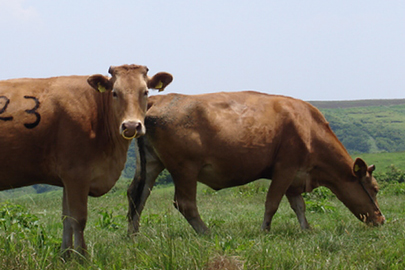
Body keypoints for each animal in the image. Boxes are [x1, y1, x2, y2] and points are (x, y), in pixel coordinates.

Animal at [0, 65, 172, 255]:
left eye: (145, 92)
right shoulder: (76, 174)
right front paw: (82, 256)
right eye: (114, 93)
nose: (131, 126)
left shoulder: (67, 178)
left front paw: (65, 255)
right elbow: (78, 218)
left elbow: (66, 218)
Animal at [128, 90, 384, 234]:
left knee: (136, 196)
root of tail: (159, 98)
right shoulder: (285, 168)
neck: (309, 128)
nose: (381, 219)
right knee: (184, 203)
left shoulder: (295, 176)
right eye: (375, 188)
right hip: (185, 169)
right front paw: (265, 231)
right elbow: (272, 203)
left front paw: (306, 229)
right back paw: (207, 232)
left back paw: (133, 235)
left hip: (151, 163)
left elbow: (299, 205)